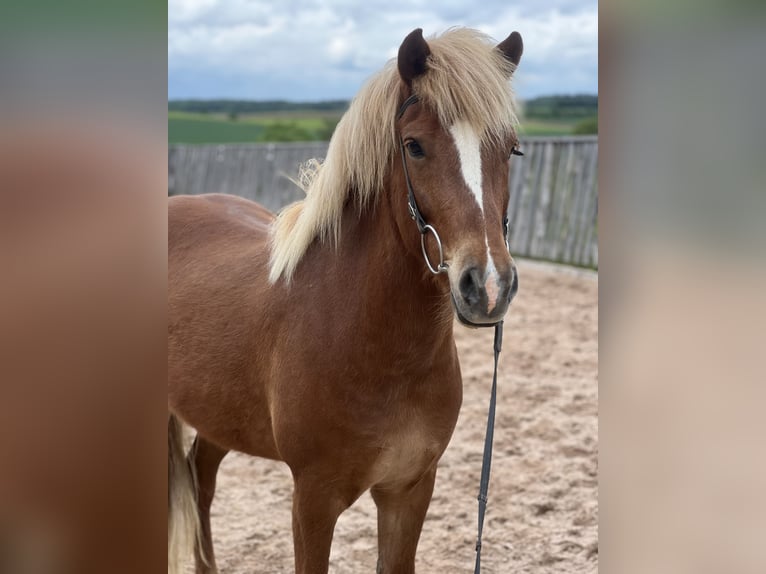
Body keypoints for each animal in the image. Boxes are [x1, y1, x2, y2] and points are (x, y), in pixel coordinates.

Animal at [168, 27, 524, 574]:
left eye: (510, 149)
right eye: (414, 146)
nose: (487, 288)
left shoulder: (409, 491)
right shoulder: (314, 499)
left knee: (201, 478)